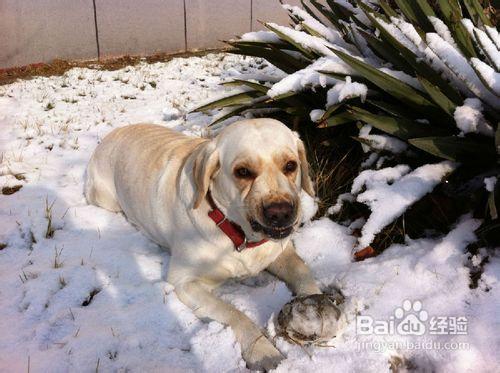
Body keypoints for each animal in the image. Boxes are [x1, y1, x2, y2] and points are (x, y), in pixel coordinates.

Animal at [85, 119, 320, 370]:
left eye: (290, 165)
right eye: (243, 172)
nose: (281, 212)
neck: (238, 232)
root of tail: (113, 133)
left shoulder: (279, 250)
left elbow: (302, 270)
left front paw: (317, 305)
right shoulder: (185, 281)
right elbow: (234, 313)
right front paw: (263, 351)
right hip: (104, 198)